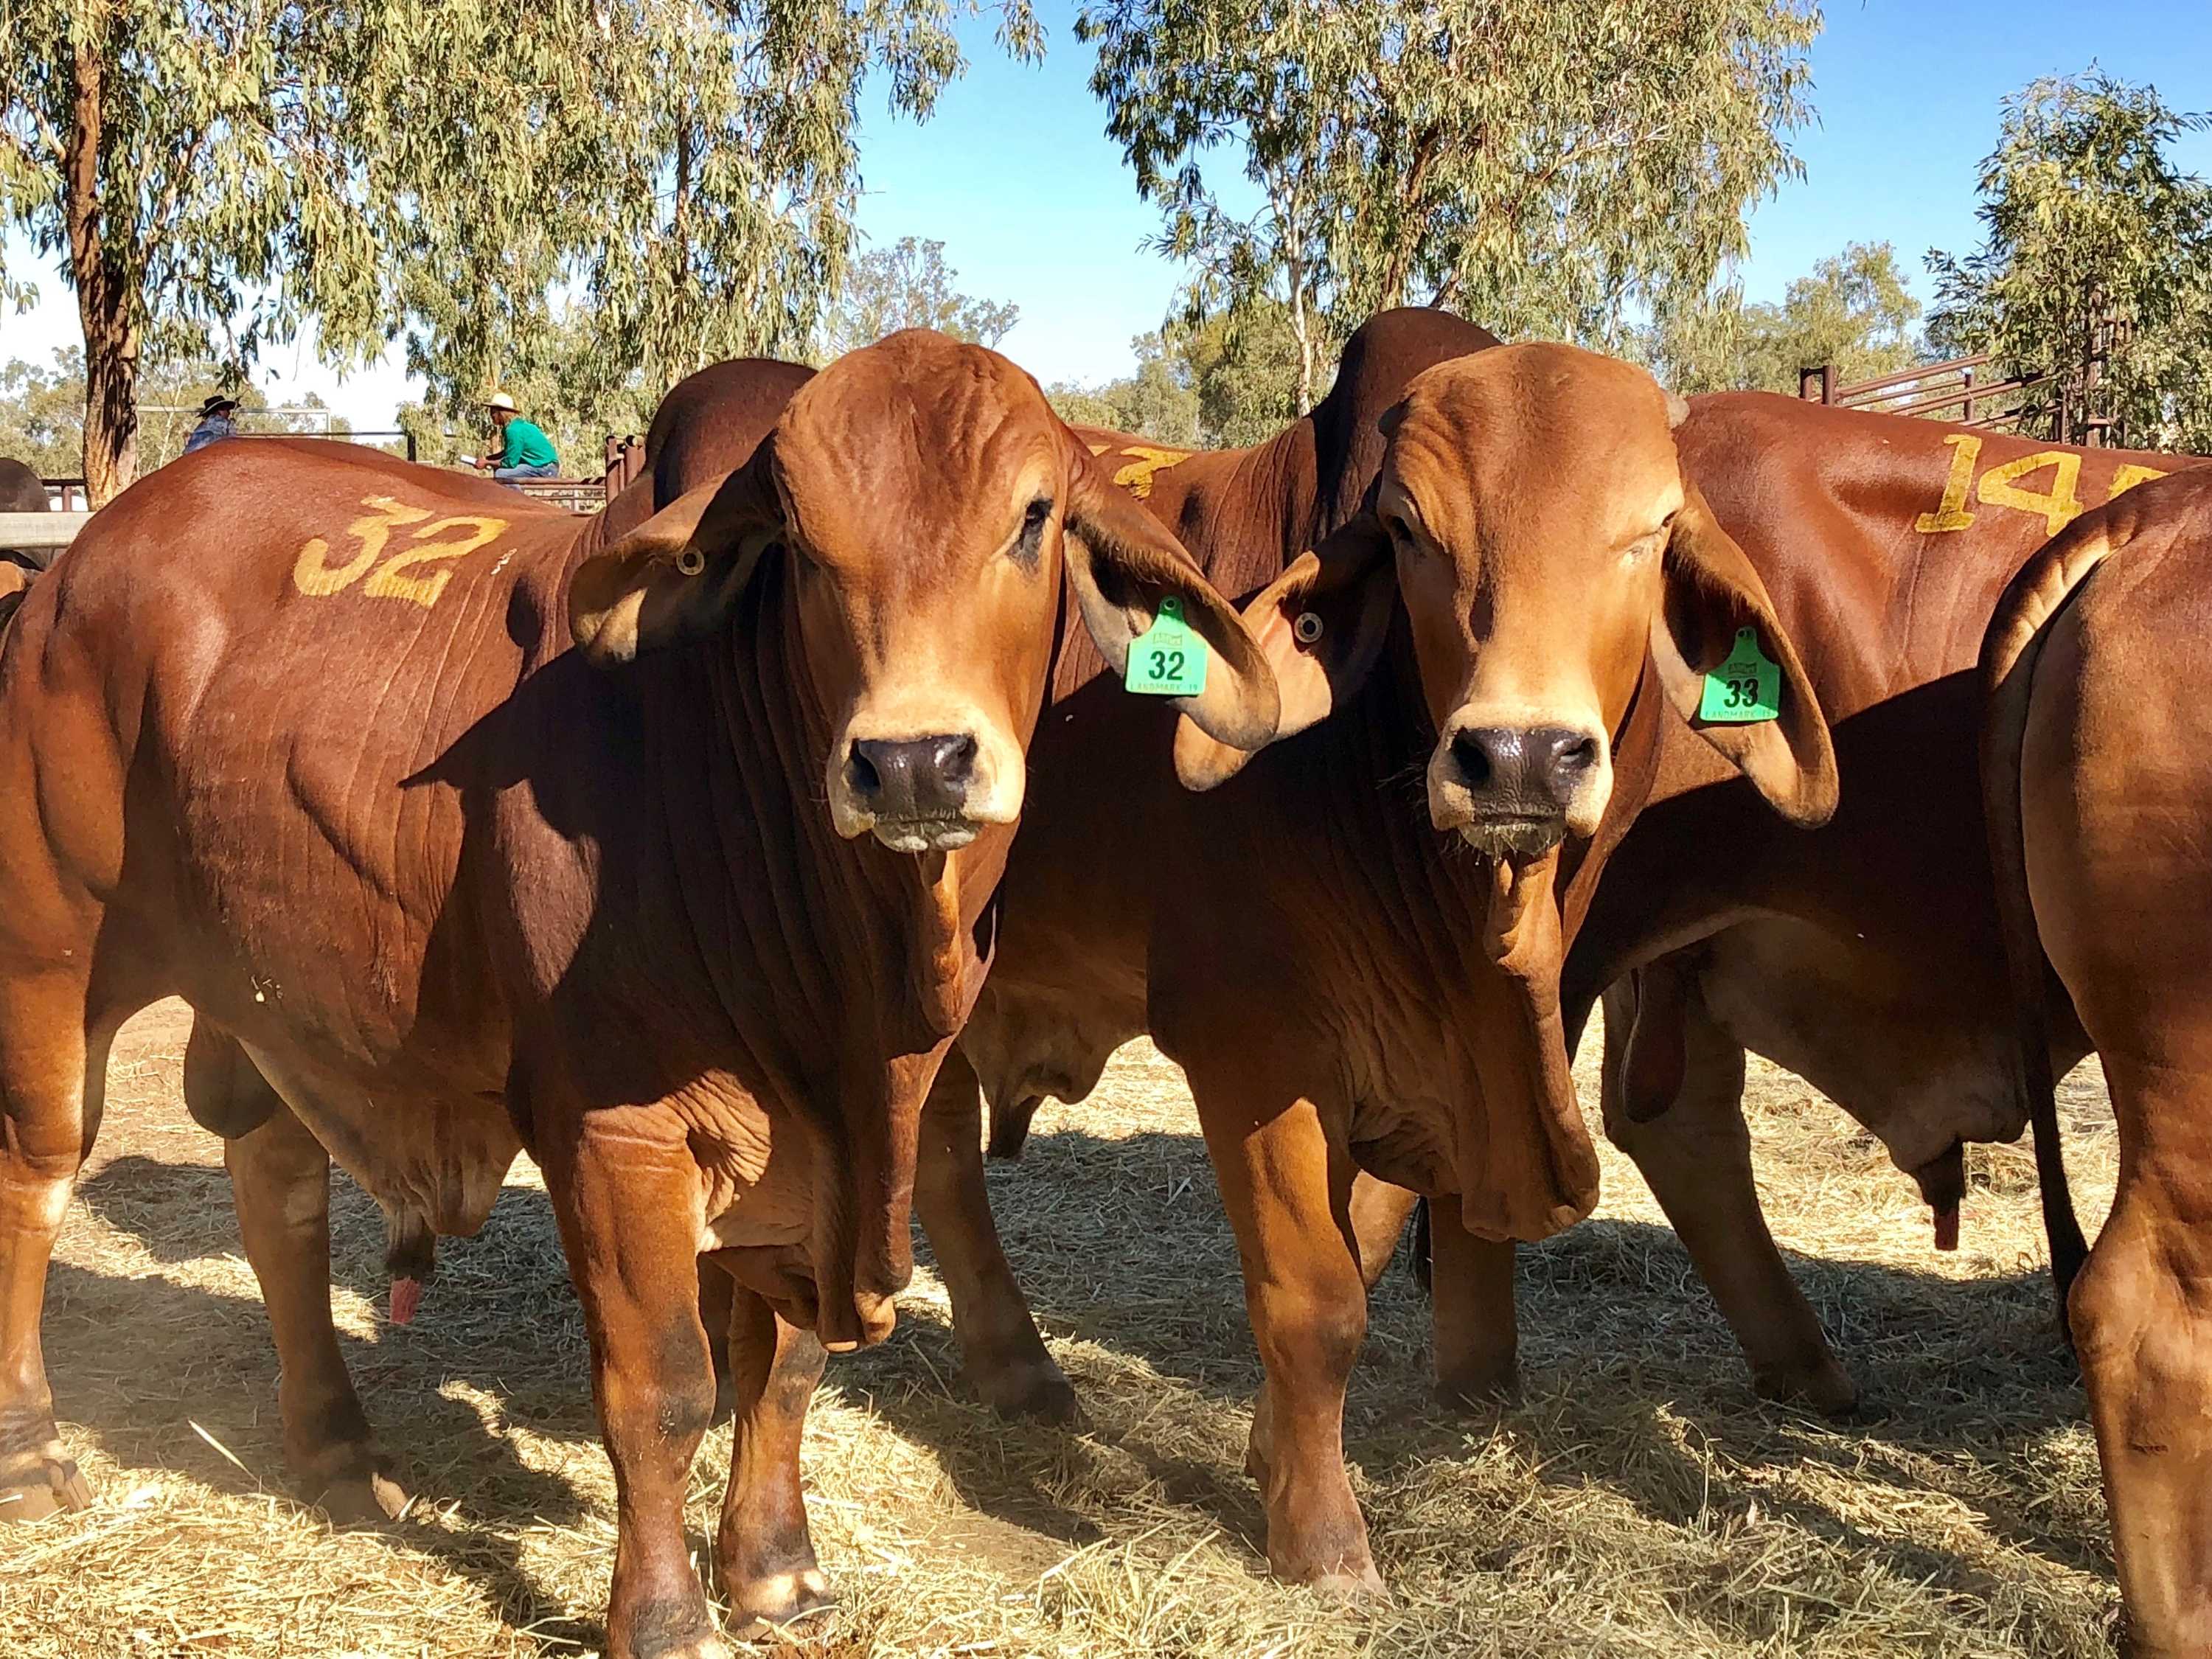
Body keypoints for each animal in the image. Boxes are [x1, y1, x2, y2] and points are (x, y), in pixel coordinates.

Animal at [0, 330, 1281, 1659]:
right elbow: (664, 1385)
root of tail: (81, 558)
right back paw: (35, 1459)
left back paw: (341, 1451)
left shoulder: (800, 1156)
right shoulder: (616, 1132)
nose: (914, 762)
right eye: (801, 544)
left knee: (279, 1196)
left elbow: (786, 1370)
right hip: (51, 950)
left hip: (274, 990)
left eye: (1034, 518)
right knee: (34, 1183)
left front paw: (777, 1572)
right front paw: (665, 1616)